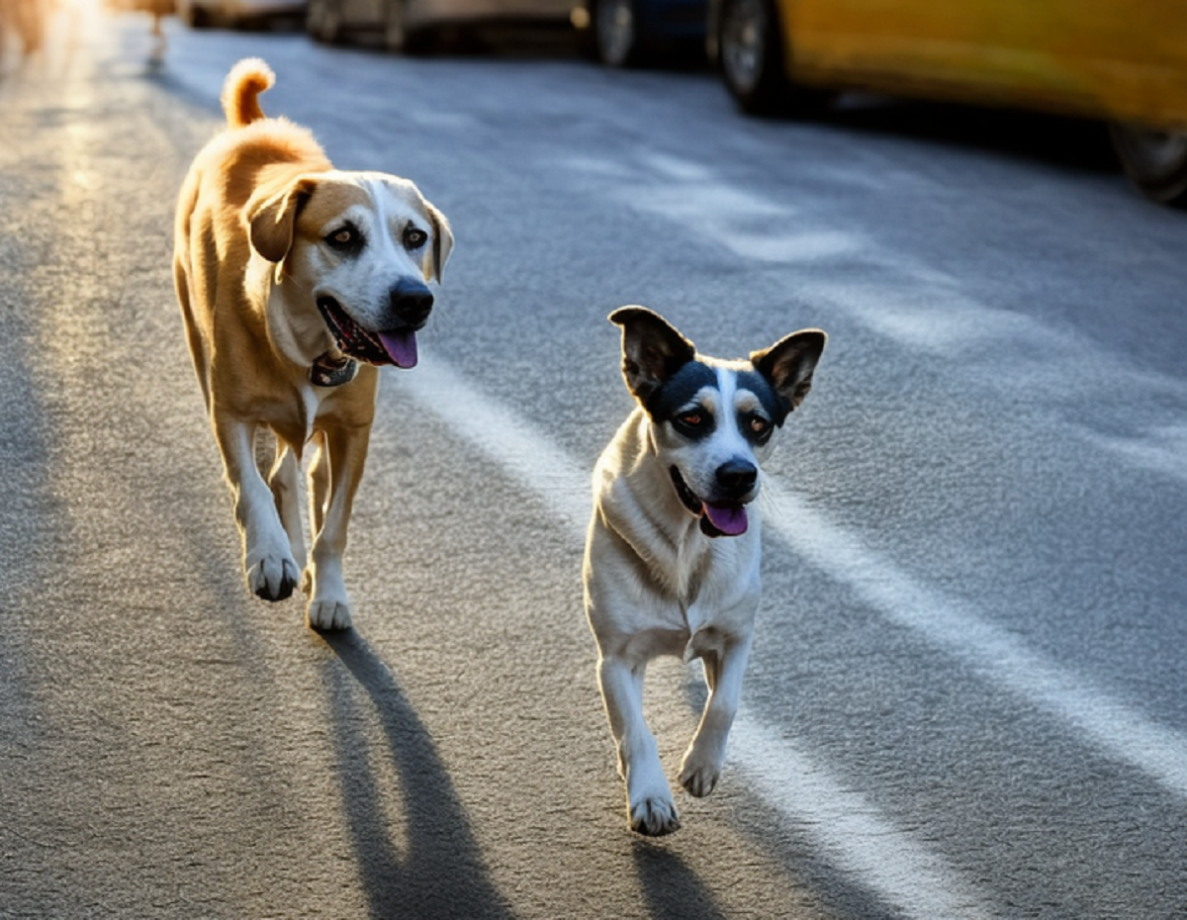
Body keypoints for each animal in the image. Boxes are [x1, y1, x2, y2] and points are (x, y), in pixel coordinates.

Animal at [173, 59, 451, 631]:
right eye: (342, 237)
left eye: (415, 237)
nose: (415, 299)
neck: (308, 347)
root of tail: (252, 127)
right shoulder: (231, 411)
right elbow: (249, 484)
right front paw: (269, 556)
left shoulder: (352, 430)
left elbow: (334, 525)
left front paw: (329, 592)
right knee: (267, 471)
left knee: (302, 470)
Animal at [584, 306, 826, 840]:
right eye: (693, 418)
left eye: (758, 424)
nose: (739, 475)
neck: (688, 544)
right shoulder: (615, 657)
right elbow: (635, 729)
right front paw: (650, 796)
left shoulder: (736, 634)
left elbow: (725, 703)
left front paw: (701, 766)